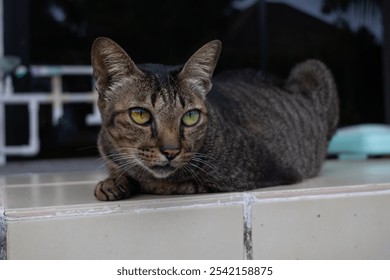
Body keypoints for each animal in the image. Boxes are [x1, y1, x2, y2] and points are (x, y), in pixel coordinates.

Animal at [91, 37, 338, 201]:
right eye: (140, 115)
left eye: (190, 117)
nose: (171, 152)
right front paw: (114, 181)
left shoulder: (265, 171)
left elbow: (168, 183)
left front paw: (124, 181)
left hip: (313, 67)